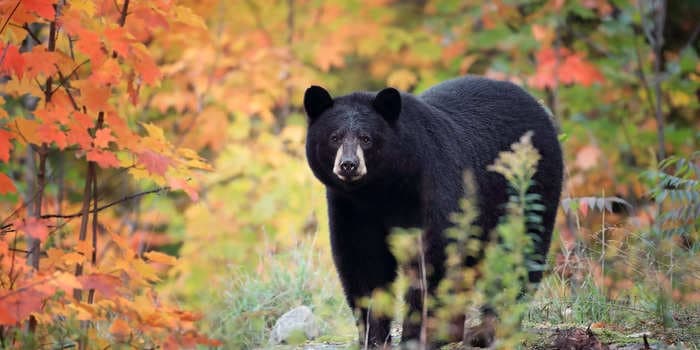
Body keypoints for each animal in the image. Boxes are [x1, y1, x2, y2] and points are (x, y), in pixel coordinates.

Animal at [300, 76, 564, 348]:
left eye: (366, 138)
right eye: (334, 137)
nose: (349, 165)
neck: (382, 189)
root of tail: (536, 105)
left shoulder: (432, 186)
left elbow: (433, 258)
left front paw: (417, 335)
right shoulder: (350, 208)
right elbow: (363, 262)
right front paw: (374, 337)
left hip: (529, 188)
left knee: (519, 251)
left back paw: (491, 329)